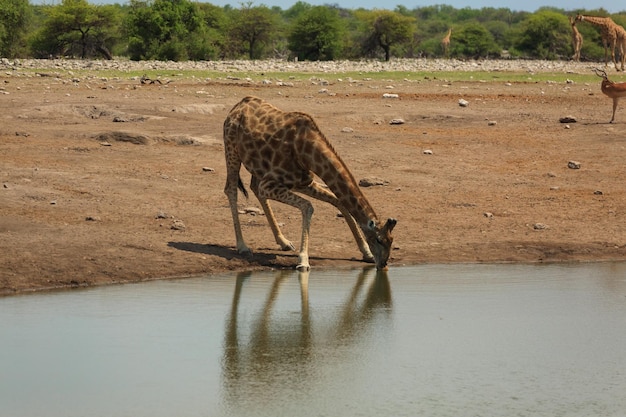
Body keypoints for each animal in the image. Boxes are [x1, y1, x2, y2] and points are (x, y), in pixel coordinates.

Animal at [219, 95, 394, 270]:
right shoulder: (270, 184)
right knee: (231, 189)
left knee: (253, 187)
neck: (308, 152)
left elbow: (338, 201)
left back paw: (284, 242)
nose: (383, 264)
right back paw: (243, 246)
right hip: (231, 149)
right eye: (378, 240)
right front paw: (303, 260)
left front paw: (366, 253)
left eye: (391, 240)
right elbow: (308, 206)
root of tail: (238, 105)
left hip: (257, 166)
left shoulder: (303, 182)